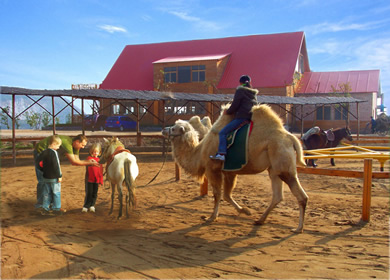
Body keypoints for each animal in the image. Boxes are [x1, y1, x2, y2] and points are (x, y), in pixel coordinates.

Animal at [161, 104, 308, 233]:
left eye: (174, 128)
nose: (164, 129)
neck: (200, 152)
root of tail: (291, 138)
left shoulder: (212, 169)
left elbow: (217, 194)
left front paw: (211, 217)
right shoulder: (230, 172)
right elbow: (227, 195)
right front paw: (245, 210)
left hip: (283, 165)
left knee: (302, 196)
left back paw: (298, 228)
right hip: (274, 169)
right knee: (278, 196)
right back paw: (260, 220)